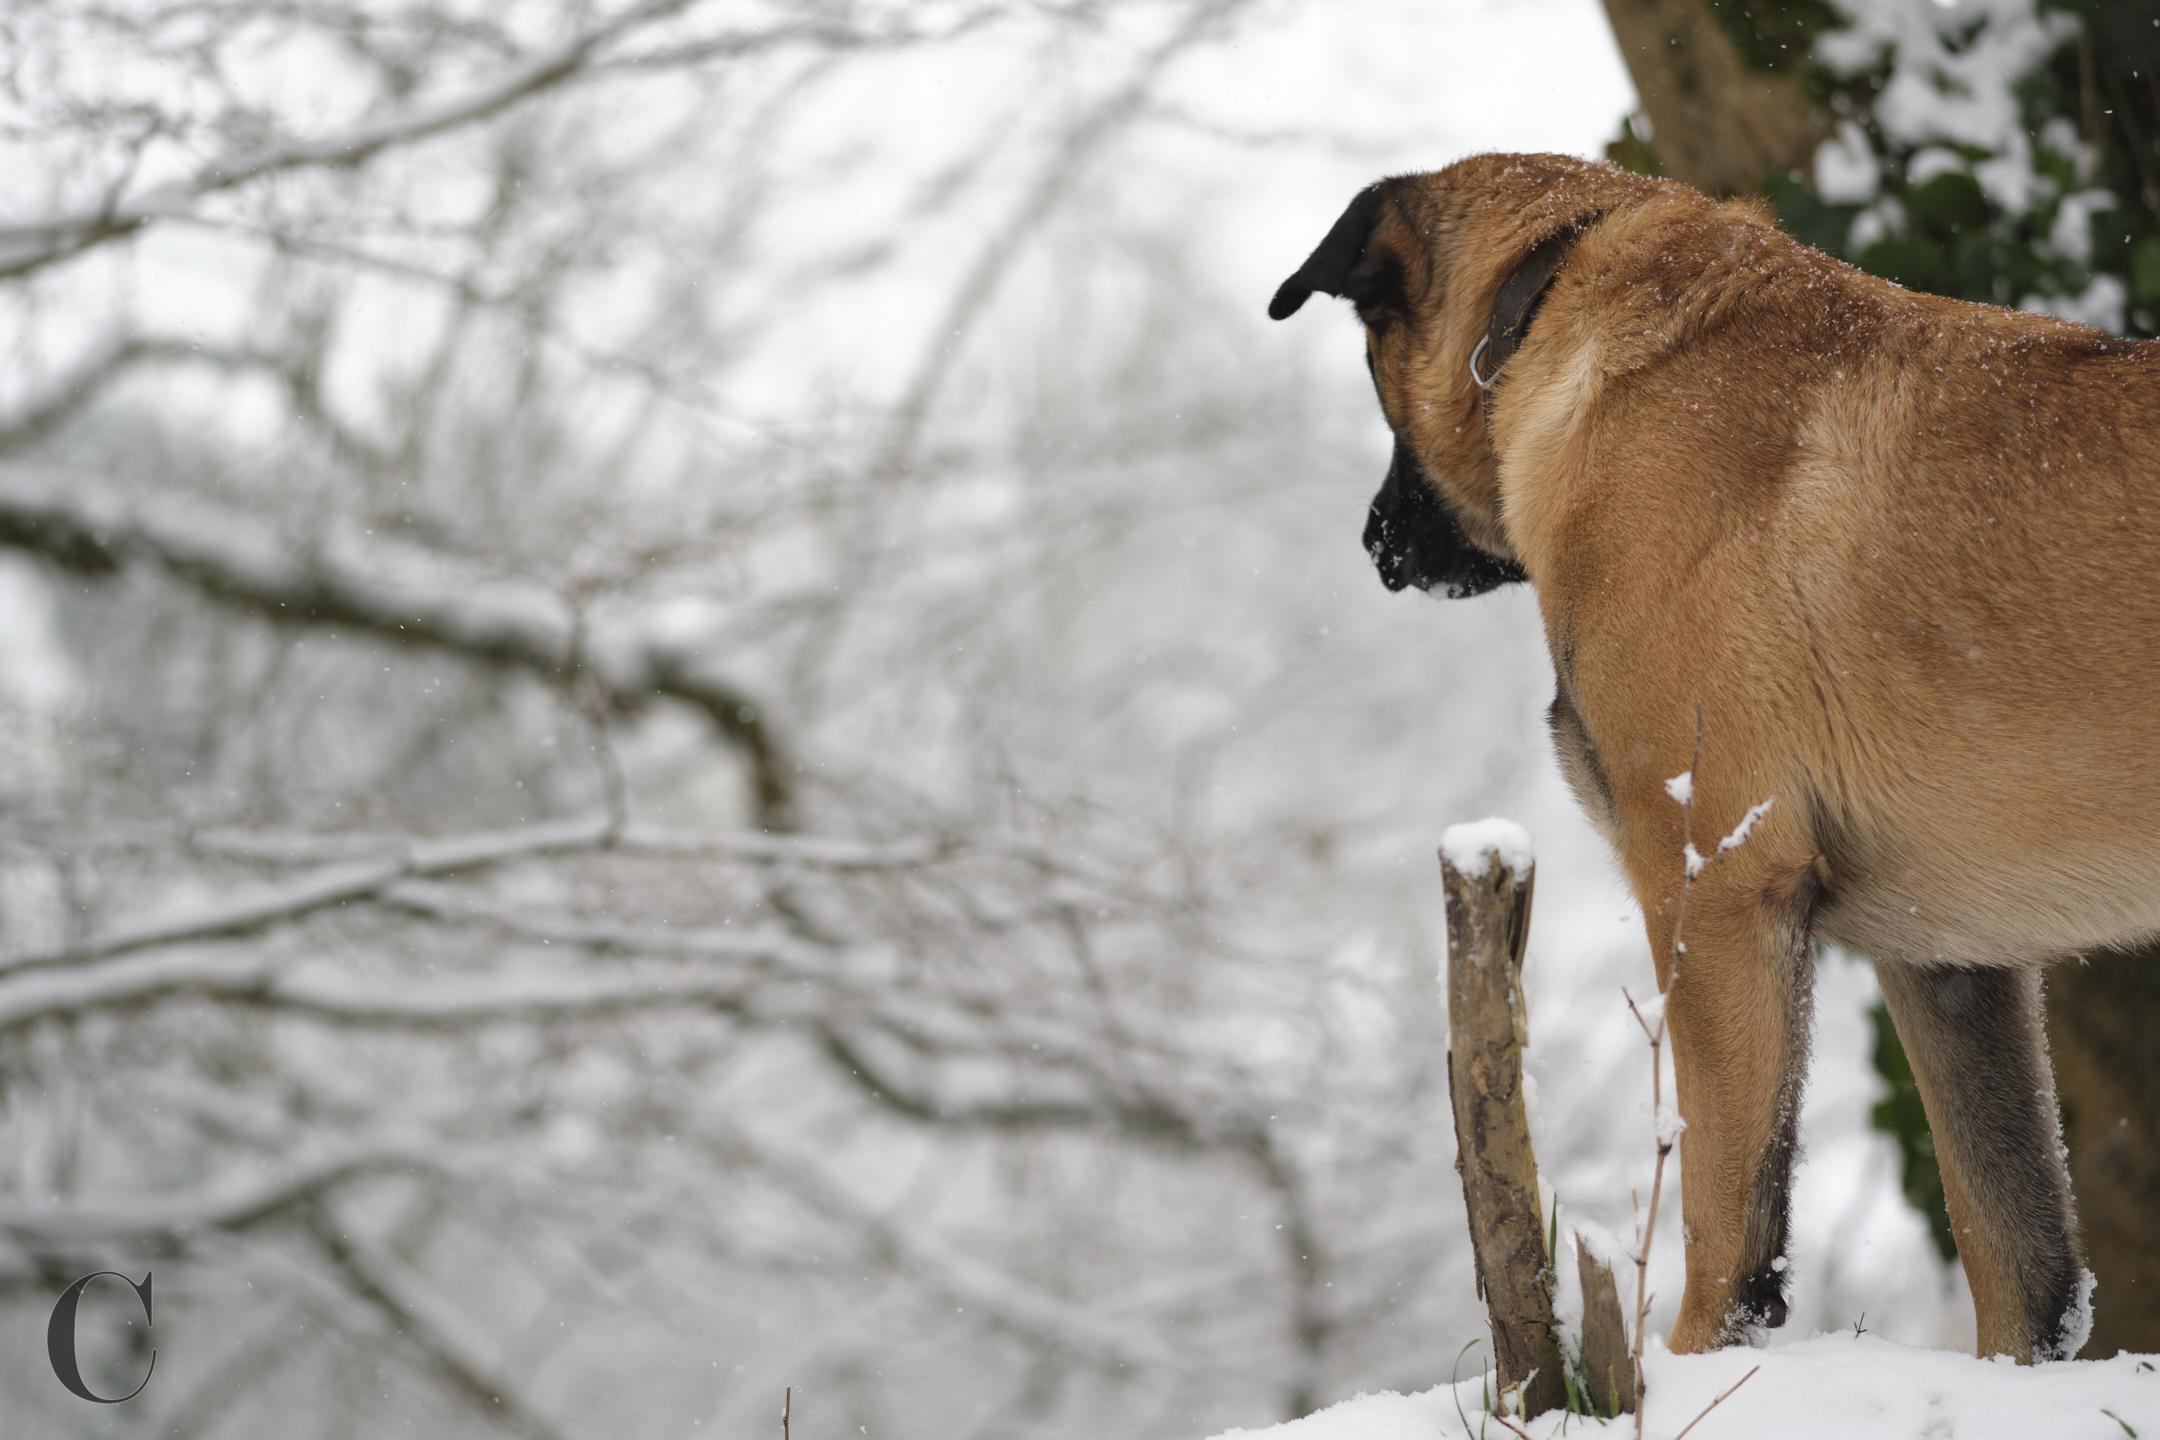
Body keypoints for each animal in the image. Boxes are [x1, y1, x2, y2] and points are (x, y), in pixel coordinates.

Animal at [1261, 155, 2160, 1364]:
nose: (1375, 541)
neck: (1551, 298)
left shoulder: (1719, 893)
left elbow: (1726, 1228)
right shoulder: (1950, 964)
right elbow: (2022, 1266)